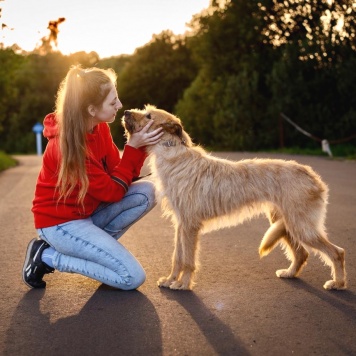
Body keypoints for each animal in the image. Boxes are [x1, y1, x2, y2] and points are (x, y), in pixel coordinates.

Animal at [123, 104, 348, 290]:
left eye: (149, 115)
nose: (125, 112)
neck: (172, 153)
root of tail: (313, 176)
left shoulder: (190, 225)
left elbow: (187, 259)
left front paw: (183, 284)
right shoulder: (181, 224)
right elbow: (177, 257)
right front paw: (171, 280)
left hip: (301, 226)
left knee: (337, 252)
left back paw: (337, 283)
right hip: (285, 222)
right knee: (302, 253)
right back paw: (290, 273)